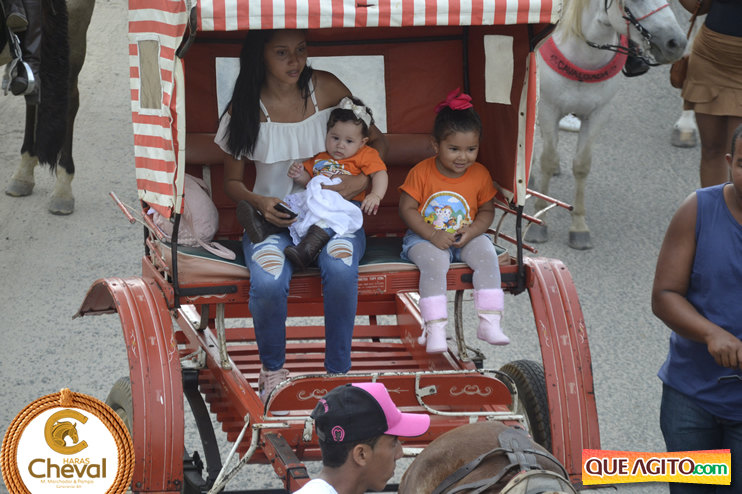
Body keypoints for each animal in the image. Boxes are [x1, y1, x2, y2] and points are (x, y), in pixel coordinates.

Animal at [526, 0, 686, 250]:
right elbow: (548, 161)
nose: (676, 44)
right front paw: (539, 221)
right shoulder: (547, 108)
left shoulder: (599, 113)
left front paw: (579, 227)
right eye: (634, 2)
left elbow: (582, 165)